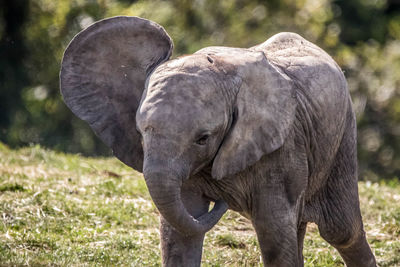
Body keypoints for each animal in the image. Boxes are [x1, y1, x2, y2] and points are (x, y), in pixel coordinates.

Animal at [59, 16, 376, 267]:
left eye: (203, 139)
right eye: (141, 133)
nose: (223, 199)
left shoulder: (282, 148)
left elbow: (273, 233)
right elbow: (180, 233)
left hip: (342, 139)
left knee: (341, 230)